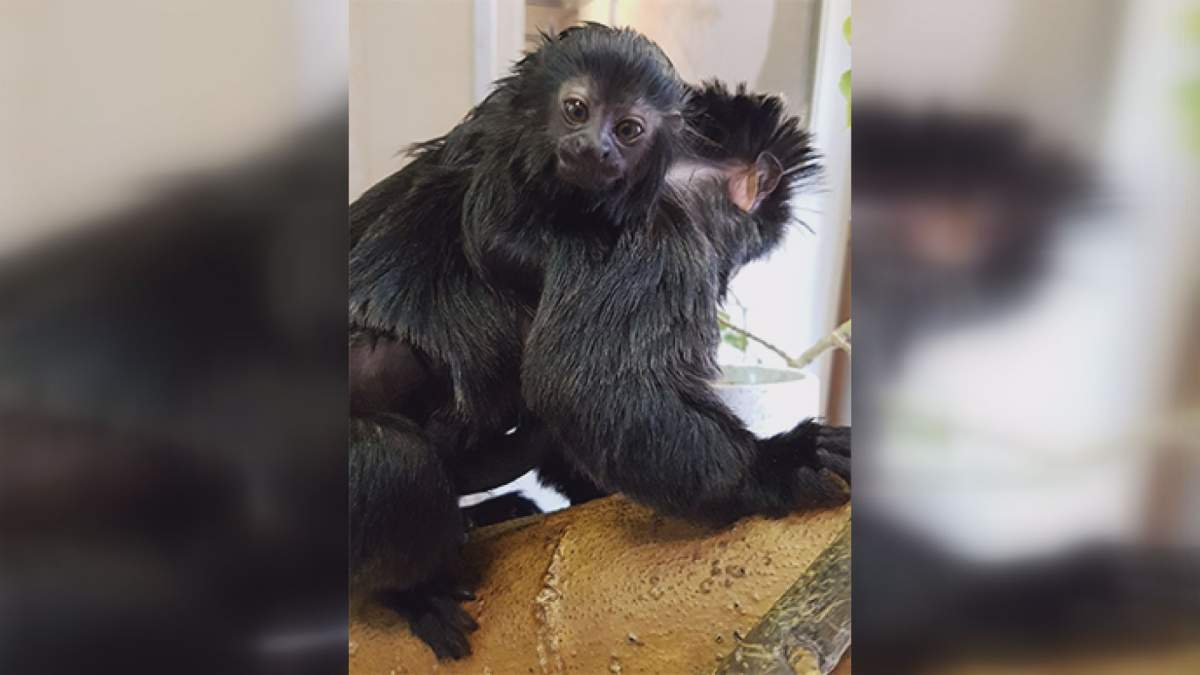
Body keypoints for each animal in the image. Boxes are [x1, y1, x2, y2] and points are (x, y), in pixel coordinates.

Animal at [349, 24, 850, 659]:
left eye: (628, 129)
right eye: (752, 234)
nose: (733, 263)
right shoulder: (649, 238)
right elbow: (583, 390)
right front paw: (776, 463)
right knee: (393, 460)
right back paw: (413, 592)